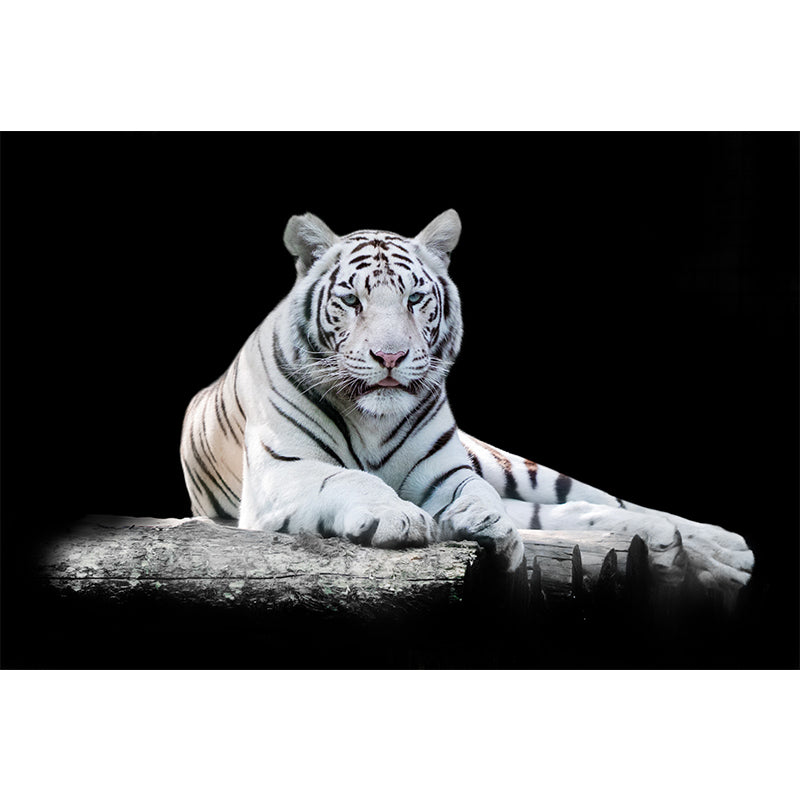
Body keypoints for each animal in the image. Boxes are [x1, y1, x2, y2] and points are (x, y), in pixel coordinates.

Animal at [179, 210, 754, 591]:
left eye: (414, 298)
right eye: (352, 300)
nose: (390, 356)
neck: (372, 421)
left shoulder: (448, 472)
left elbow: (477, 494)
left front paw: (488, 528)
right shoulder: (281, 472)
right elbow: (349, 478)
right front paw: (401, 518)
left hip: (511, 465)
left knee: (599, 501)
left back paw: (722, 551)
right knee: (575, 513)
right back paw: (677, 547)